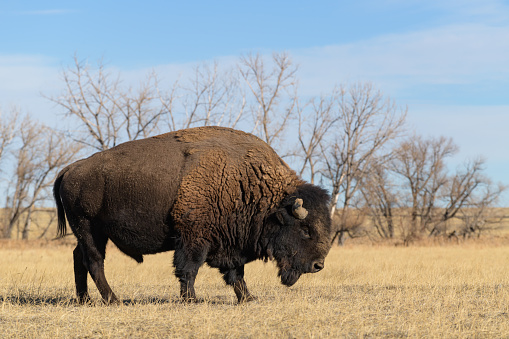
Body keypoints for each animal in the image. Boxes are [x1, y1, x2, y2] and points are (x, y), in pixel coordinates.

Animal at [54, 126, 334, 304]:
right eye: (305, 230)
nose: (318, 265)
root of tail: (71, 168)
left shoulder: (231, 242)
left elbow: (236, 274)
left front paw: (248, 298)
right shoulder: (194, 238)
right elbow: (189, 269)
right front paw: (192, 299)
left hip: (89, 233)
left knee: (79, 258)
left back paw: (84, 299)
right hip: (89, 229)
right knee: (94, 262)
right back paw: (112, 299)